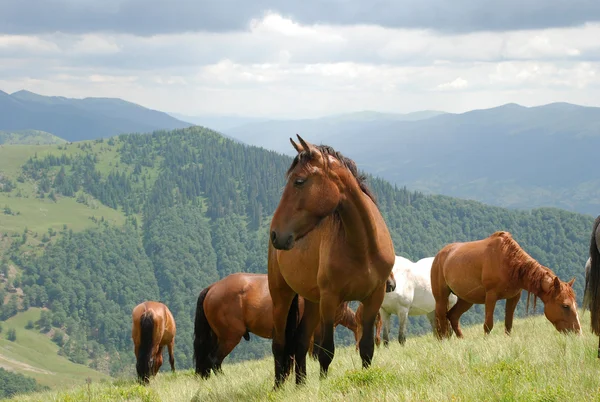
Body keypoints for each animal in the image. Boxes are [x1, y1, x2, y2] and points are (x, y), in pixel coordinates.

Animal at [195, 272, 358, 378]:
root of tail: (212, 288)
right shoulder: (317, 329)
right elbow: (316, 352)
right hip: (230, 337)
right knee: (214, 360)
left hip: (216, 336)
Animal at [270, 136, 396, 390]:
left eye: (299, 181)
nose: (276, 234)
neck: (362, 248)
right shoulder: (330, 300)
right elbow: (326, 351)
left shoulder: (373, 298)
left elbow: (367, 348)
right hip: (281, 297)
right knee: (279, 344)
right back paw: (278, 388)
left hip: (311, 301)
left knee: (299, 341)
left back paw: (300, 385)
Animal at [432, 229, 580, 340]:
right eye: (565, 306)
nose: (578, 332)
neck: (509, 262)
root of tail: (440, 254)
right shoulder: (491, 296)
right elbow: (488, 324)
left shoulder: (514, 297)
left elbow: (508, 324)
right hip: (441, 298)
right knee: (441, 319)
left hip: (466, 299)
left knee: (452, 316)